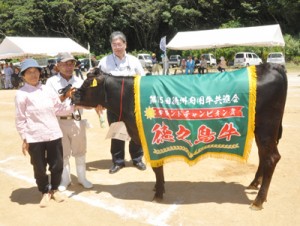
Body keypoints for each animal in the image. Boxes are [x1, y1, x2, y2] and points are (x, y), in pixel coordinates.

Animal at [71, 62, 288, 210]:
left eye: (88, 83)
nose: (72, 95)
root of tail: (270, 65)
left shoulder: (152, 136)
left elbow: (157, 168)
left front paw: (158, 193)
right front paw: (157, 188)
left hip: (266, 127)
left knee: (271, 158)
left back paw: (258, 200)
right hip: (262, 131)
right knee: (264, 156)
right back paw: (254, 184)